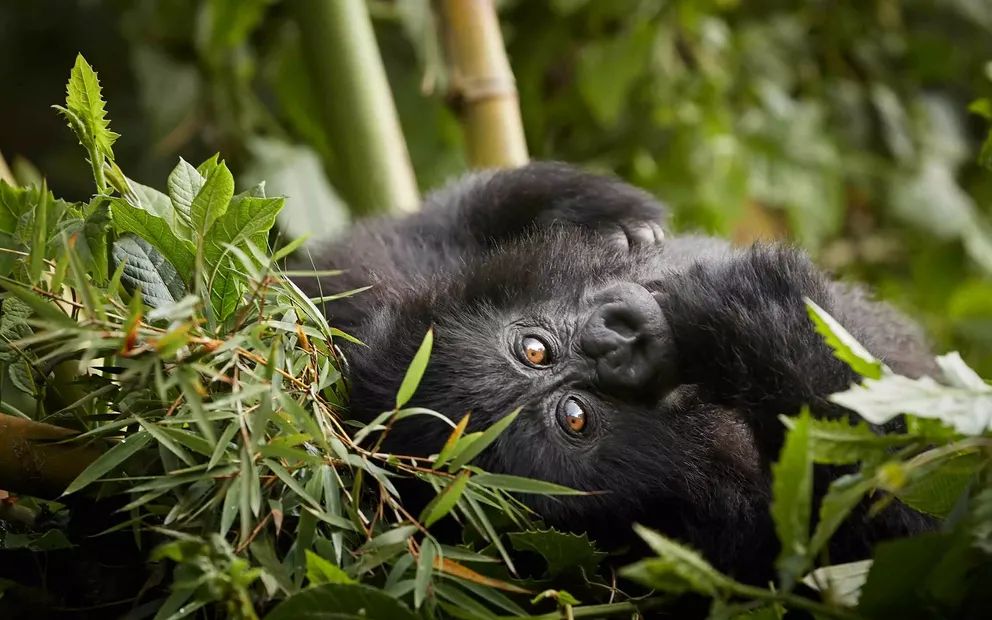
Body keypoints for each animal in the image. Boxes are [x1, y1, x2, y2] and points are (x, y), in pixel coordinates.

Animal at [296, 162, 936, 584]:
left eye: (533, 350)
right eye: (576, 417)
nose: (619, 343)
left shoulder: (377, 279)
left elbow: (441, 218)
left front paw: (597, 215)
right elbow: (884, 526)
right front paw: (758, 321)